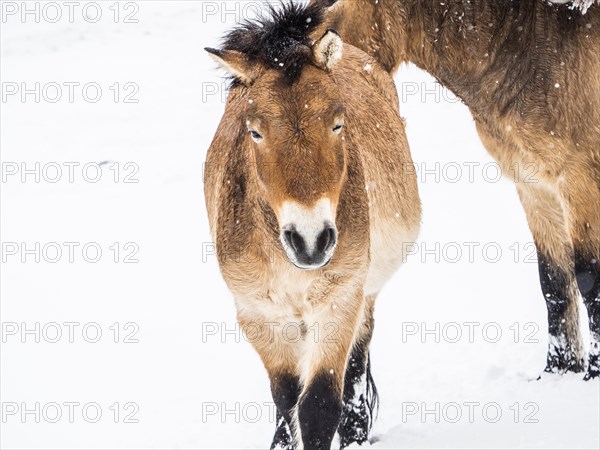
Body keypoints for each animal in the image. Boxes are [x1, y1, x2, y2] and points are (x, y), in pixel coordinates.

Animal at [204, 1, 420, 448]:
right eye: (255, 132)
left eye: (337, 124)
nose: (310, 241)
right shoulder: (258, 315)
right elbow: (286, 396)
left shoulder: (339, 303)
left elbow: (319, 404)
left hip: (364, 295)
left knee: (357, 360)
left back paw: (356, 432)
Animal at [314, 0, 600, 380]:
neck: (536, 43)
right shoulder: (535, 186)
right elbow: (554, 279)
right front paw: (559, 372)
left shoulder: (579, 181)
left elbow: (589, 279)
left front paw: (592, 374)